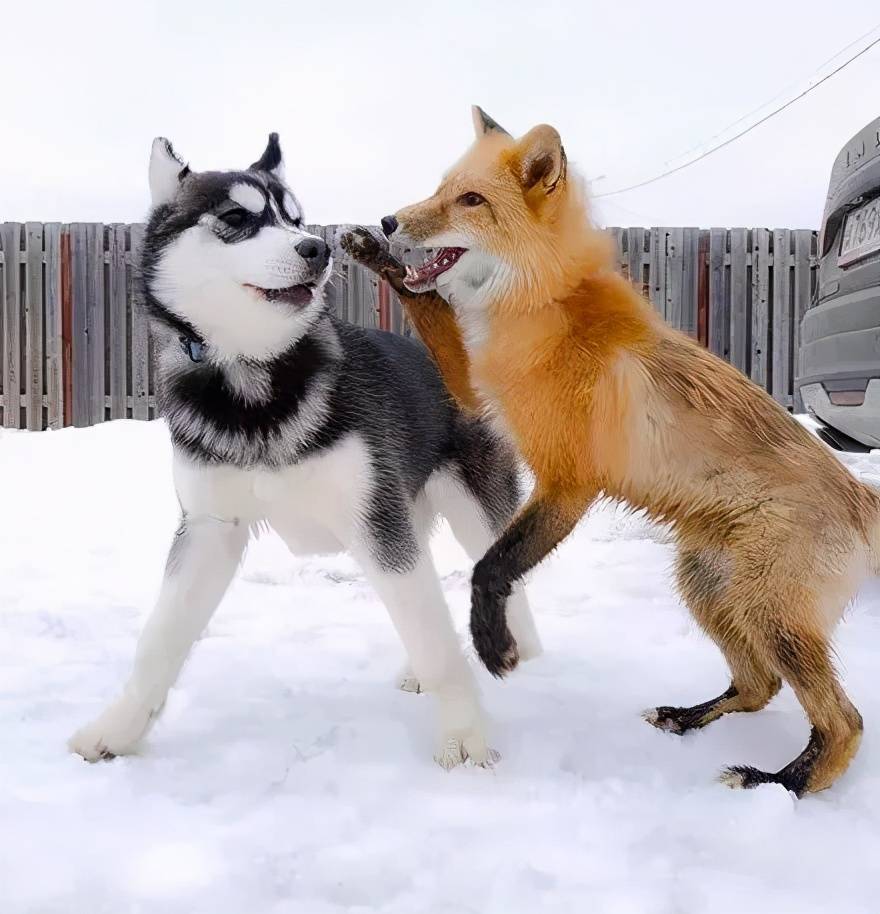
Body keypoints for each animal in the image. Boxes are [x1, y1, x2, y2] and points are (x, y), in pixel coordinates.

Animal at [69, 132, 540, 764]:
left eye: (295, 217)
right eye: (237, 218)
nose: (316, 248)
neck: (255, 381)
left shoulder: (376, 524)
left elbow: (437, 643)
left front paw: (465, 735)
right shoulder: (209, 527)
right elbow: (157, 642)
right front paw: (116, 730)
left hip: (471, 504)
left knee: (502, 572)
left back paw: (523, 648)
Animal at [340, 105, 876, 792]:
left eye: (470, 201)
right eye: (440, 190)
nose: (389, 221)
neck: (541, 303)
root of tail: (861, 495)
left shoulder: (569, 481)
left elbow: (492, 567)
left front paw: (495, 646)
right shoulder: (475, 388)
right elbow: (427, 302)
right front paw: (374, 255)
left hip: (769, 612)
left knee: (844, 722)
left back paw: (780, 783)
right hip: (709, 589)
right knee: (759, 686)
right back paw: (688, 718)